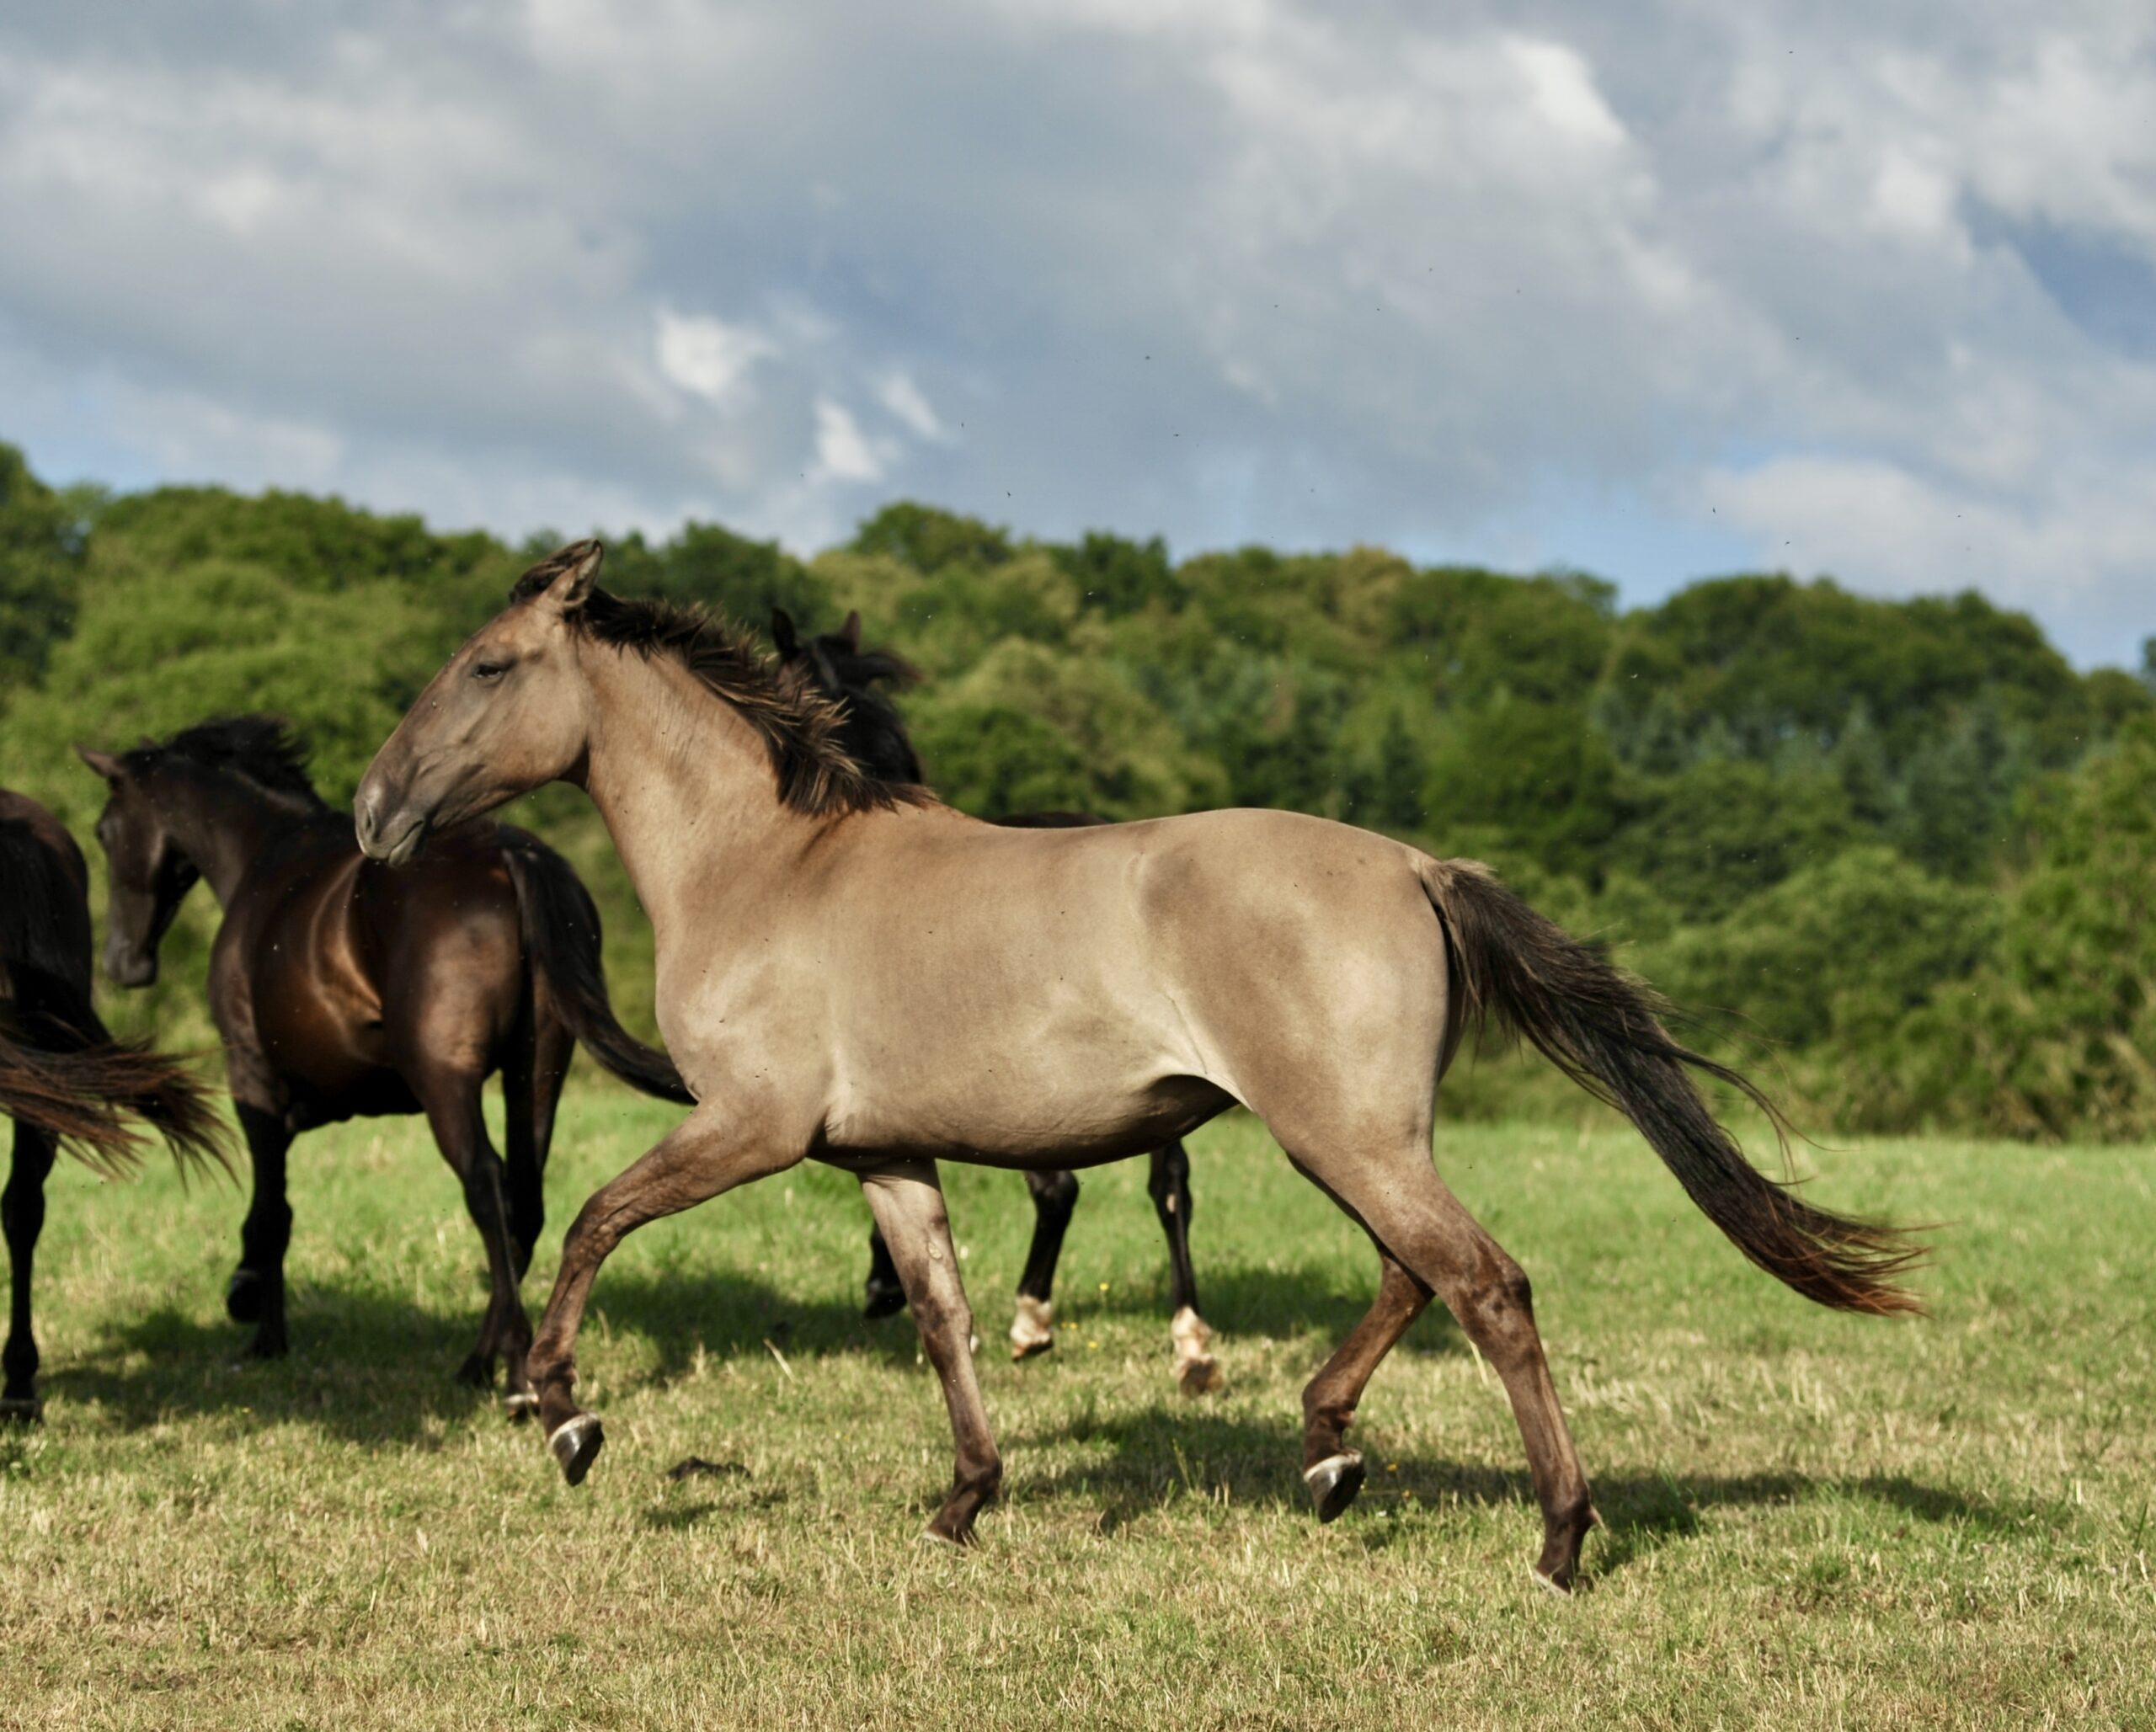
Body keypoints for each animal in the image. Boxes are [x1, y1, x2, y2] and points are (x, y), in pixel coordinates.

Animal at [79, 715, 690, 1404]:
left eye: (105, 831)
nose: (123, 963)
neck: (262, 859)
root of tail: (512, 853)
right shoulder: (318, 1100)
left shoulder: (254, 1081)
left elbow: (273, 1208)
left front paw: (261, 1328)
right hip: (535, 1075)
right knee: (524, 1199)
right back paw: (485, 1359)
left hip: (445, 1080)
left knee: (486, 1187)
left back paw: (506, 1369)